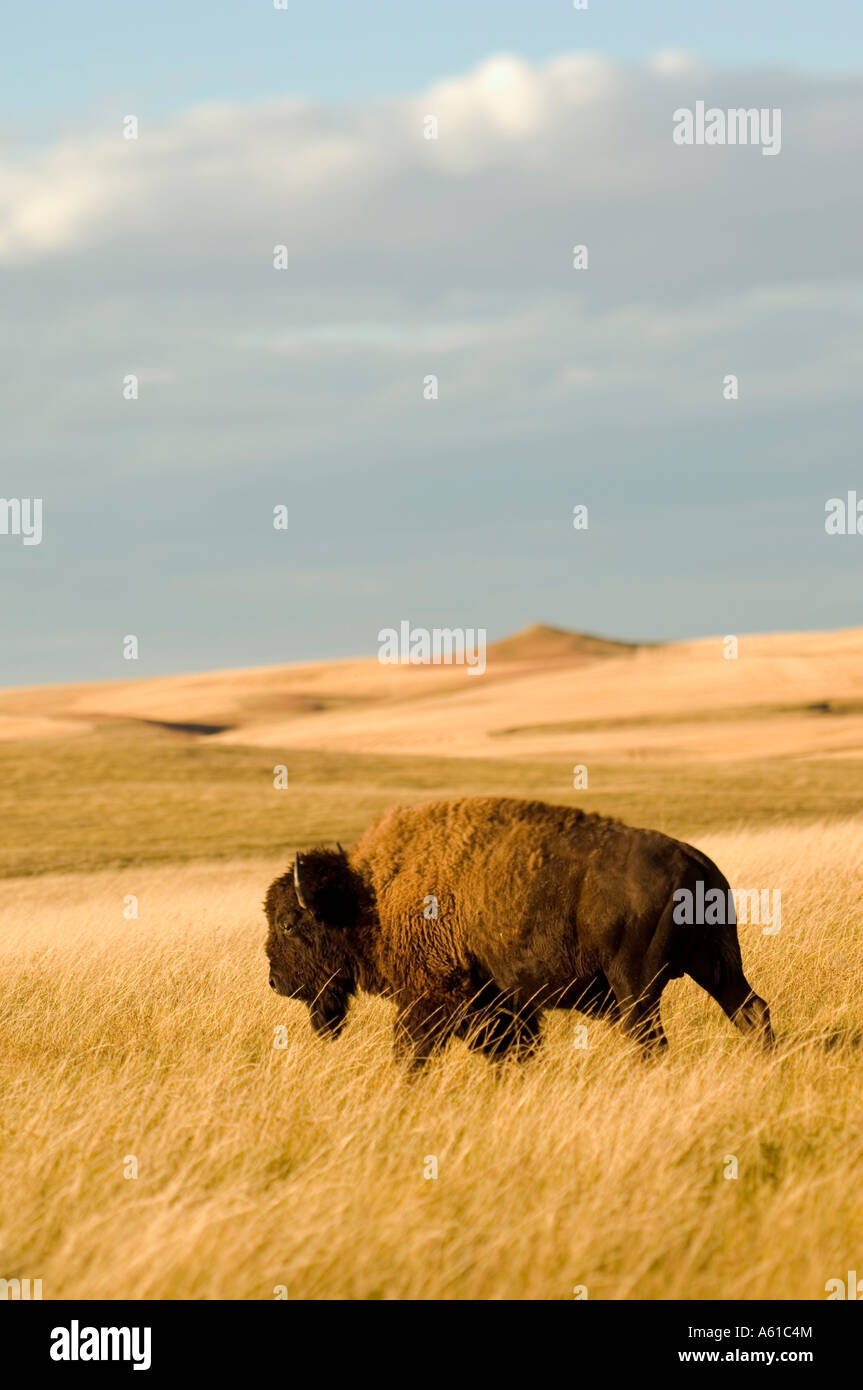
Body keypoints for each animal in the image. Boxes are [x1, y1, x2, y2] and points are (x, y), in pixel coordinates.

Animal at [264, 796, 772, 1066]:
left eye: (288, 923)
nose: (275, 981)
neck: (367, 896)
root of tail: (693, 859)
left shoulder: (430, 998)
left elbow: (411, 1053)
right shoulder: (503, 1008)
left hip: (635, 987)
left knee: (651, 1040)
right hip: (717, 966)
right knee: (751, 1011)